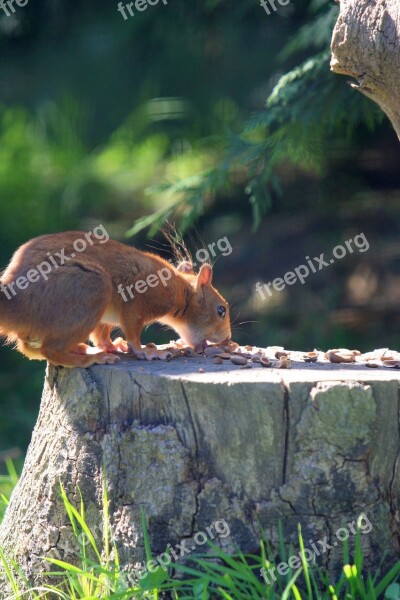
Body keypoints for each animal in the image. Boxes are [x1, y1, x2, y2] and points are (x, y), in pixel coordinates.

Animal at [0, 232, 231, 368]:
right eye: (221, 310)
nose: (228, 338)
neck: (180, 290)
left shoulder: (106, 318)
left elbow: (101, 336)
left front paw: (114, 346)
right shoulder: (138, 300)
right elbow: (133, 331)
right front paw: (146, 351)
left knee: (28, 348)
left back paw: (78, 348)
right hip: (91, 287)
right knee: (50, 350)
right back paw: (90, 359)